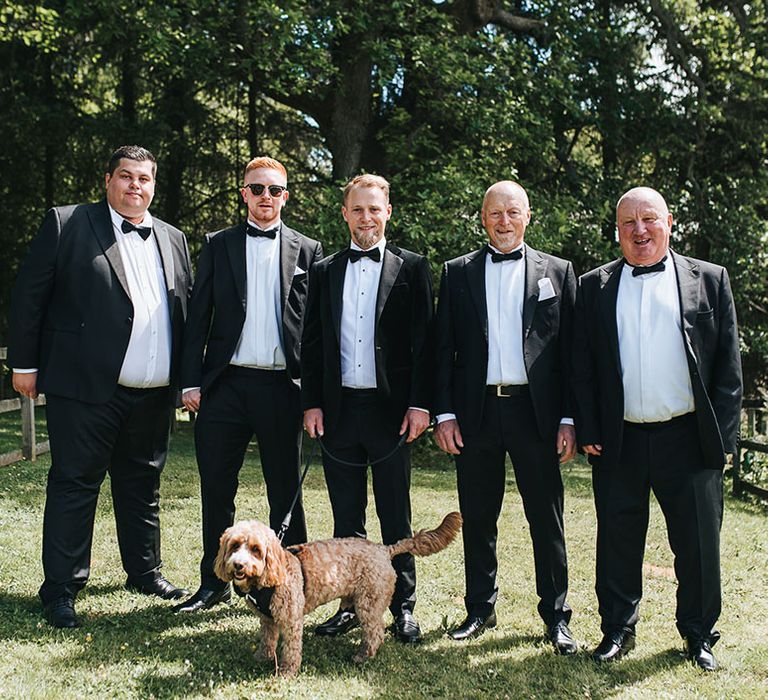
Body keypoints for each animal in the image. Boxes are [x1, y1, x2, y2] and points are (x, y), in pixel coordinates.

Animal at [213, 516, 460, 680]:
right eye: (235, 545)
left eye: (256, 549)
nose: (238, 565)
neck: (269, 576)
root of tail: (385, 550)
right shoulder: (268, 619)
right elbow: (267, 640)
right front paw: (262, 657)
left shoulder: (291, 620)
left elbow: (291, 649)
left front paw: (286, 672)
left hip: (369, 601)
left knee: (376, 632)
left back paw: (363, 656)